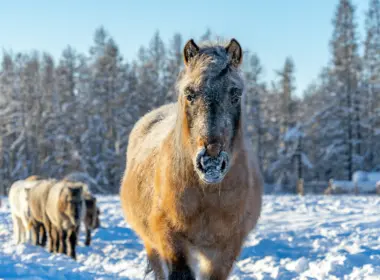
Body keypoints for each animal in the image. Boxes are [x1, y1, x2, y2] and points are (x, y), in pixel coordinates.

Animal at [120, 38, 262, 278]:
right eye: (189, 93)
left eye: (235, 94)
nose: (211, 162)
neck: (207, 194)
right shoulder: (170, 237)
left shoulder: (226, 248)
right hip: (151, 243)